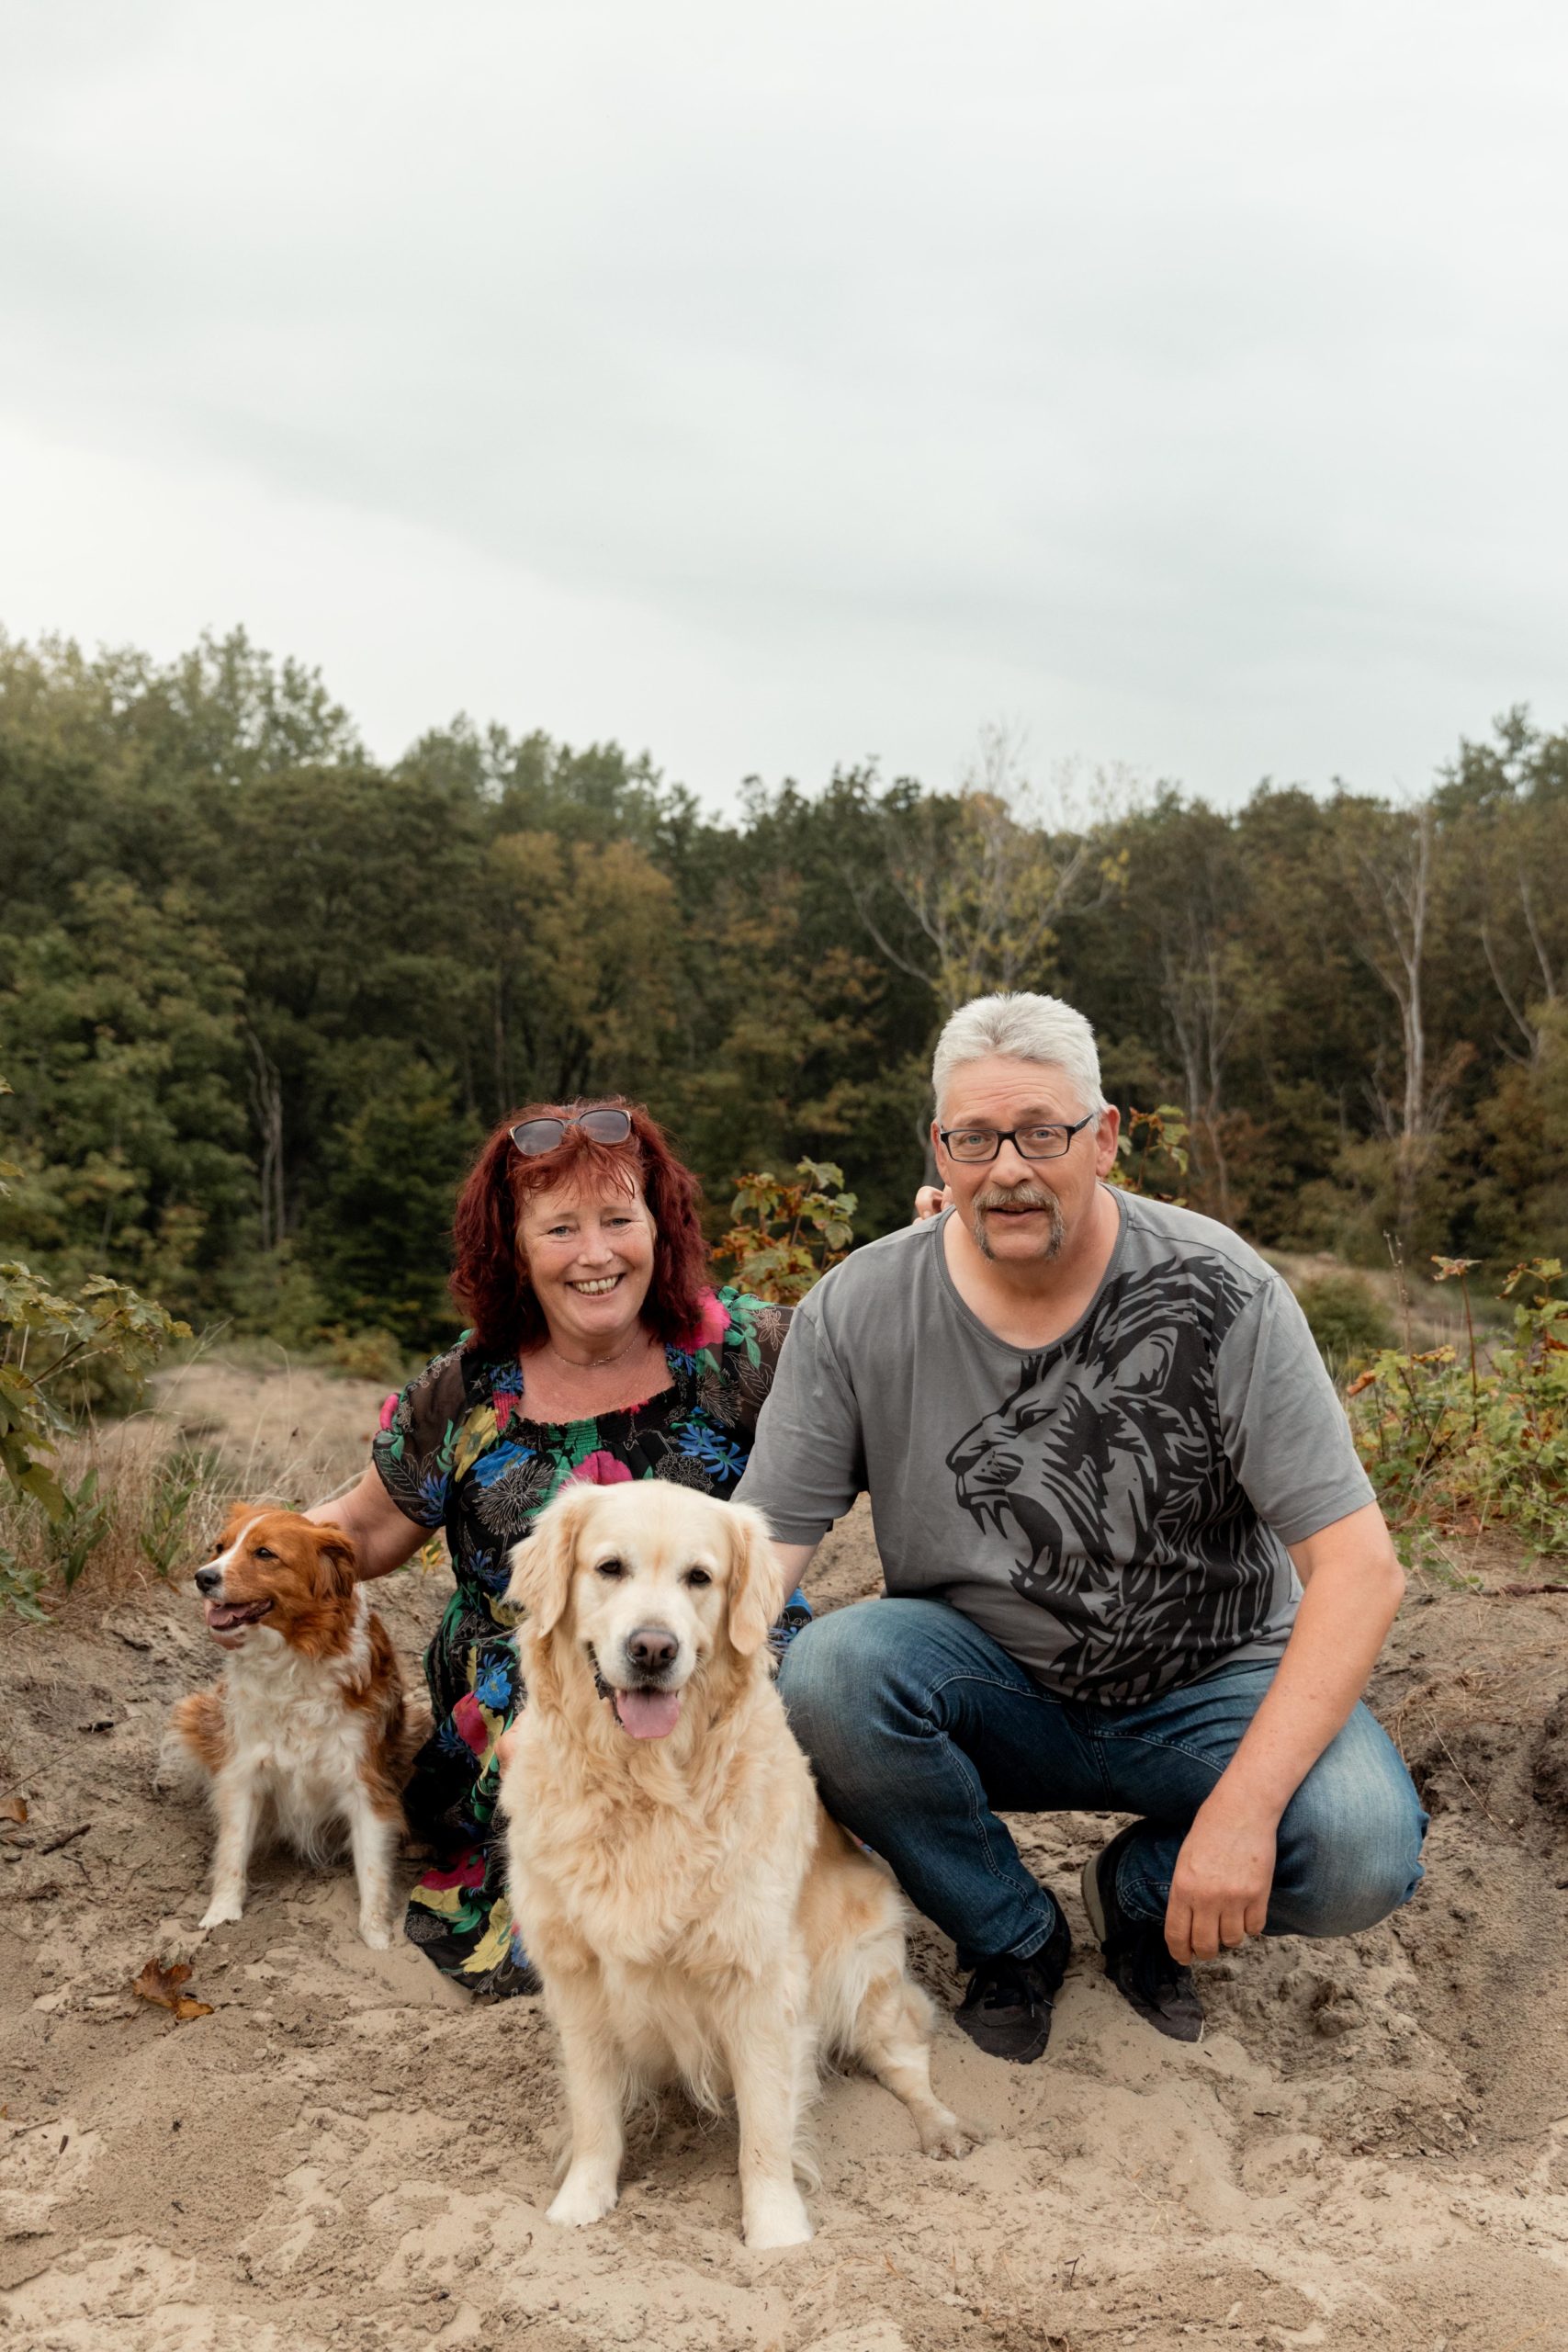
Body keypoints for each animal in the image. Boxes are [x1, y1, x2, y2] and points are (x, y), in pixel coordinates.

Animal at [157, 1505, 423, 1947]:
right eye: (220, 1547)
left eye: (265, 1553)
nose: (202, 1576)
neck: (295, 1656)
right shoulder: (245, 1769)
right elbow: (232, 1849)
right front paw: (221, 1917)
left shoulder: (365, 1781)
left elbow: (372, 1869)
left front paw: (376, 1940)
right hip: (199, 1715)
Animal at [495, 1476, 973, 2248]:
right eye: (609, 1568)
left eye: (699, 1578)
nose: (652, 1648)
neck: (647, 1787)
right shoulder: (577, 1975)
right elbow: (594, 2110)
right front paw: (580, 2202)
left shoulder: (760, 1977)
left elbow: (765, 2129)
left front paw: (776, 2232)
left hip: (865, 1976)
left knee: (907, 2061)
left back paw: (940, 2130)